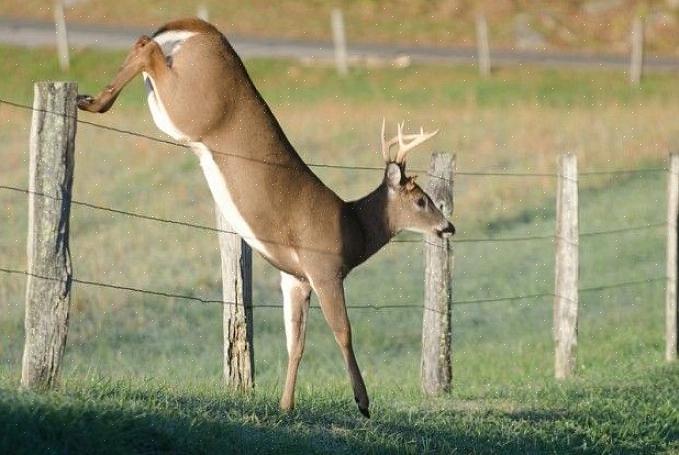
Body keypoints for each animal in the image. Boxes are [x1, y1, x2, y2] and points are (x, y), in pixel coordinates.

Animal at [77, 17, 454, 418]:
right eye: (421, 200)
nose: (448, 226)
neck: (354, 227)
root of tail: (201, 28)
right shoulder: (324, 268)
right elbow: (343, 331)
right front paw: (363, 402)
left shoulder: (296, 279)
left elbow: (296, 343)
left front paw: (286, 404)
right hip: (190, 107)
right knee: (147, 46)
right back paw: (95, 101)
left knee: (143, 44)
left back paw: (88, 99)